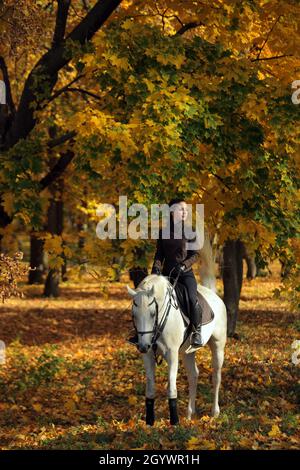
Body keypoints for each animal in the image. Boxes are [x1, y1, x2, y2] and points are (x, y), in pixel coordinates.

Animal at [125, 237, 226, 424]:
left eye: (152, 313)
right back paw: (189, 414)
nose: (142, 346)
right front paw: (150, 421)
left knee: (216, 376)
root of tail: (213, 295)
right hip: (187, 352)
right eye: (134, 314)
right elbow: (150, 388)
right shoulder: (148, 356)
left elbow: (171, 387)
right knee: (194, 376)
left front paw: (174, 421)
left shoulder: (172, 354)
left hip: (218, 346)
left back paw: (214, 412)